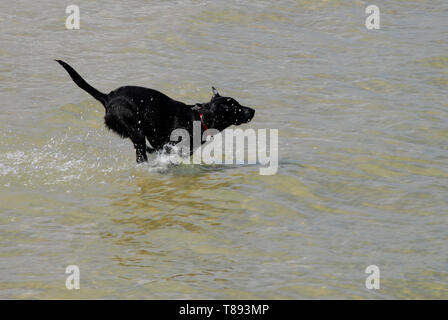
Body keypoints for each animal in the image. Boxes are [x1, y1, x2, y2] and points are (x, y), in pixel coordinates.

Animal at [55, 60, 256, 162]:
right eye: (237, 108)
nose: (253, 110)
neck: (200, 118)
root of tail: (107, 98)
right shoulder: (172, 145)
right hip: (136, 129)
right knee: (141, 155)